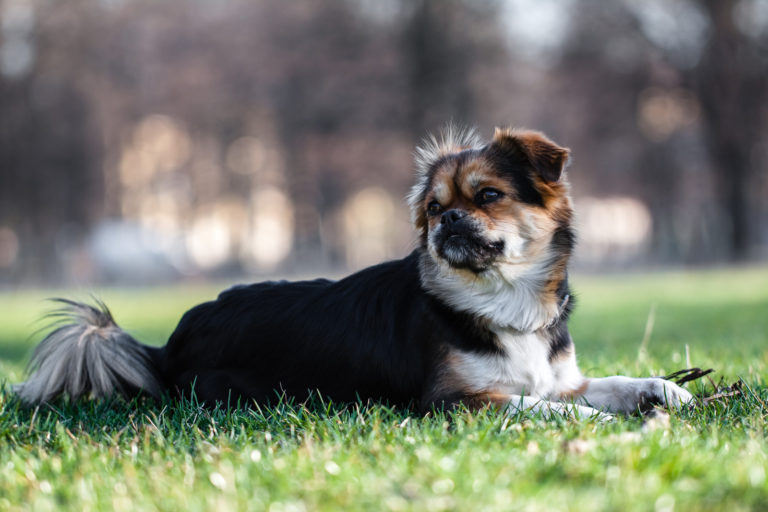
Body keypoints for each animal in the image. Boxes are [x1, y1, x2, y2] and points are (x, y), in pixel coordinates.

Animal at [13, 126, 696, 418]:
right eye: (434, 208)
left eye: (488, 196)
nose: (449, 221)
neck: (503, 301)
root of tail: (168, 345)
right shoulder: (459, 401)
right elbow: (552, 411)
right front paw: (610, 425)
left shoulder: (560, 379)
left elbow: (616, 382)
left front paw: (670, 392)